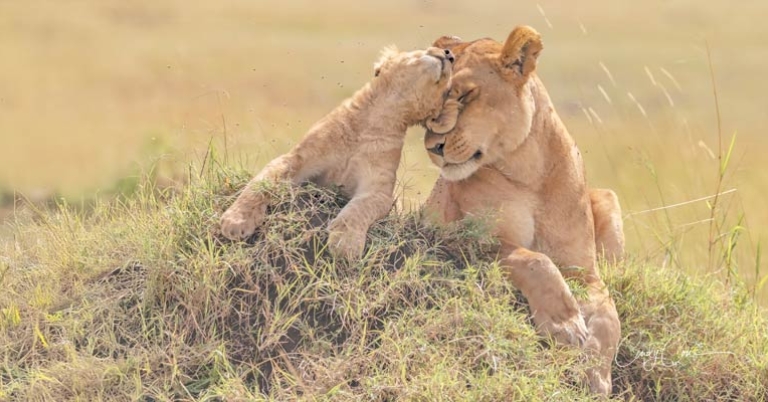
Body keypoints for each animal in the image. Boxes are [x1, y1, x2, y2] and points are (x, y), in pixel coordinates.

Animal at [220, 45, 456, 259]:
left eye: (447, 89)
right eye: (427, 47)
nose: (450, 54)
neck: (378, 118)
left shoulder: (378, 189)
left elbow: (360, 208)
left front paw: (346, 244)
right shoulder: (295, 159)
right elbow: (260, 184)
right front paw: (235, 221)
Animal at [421, 27, 624, 394]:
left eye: (466, 94)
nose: (433, 147)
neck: (525, 170)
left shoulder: (584, 269)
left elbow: (608, 313)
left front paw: (597, 374)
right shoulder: (458, 238)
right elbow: (533, 260)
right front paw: (564, 325)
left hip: (608, 198)